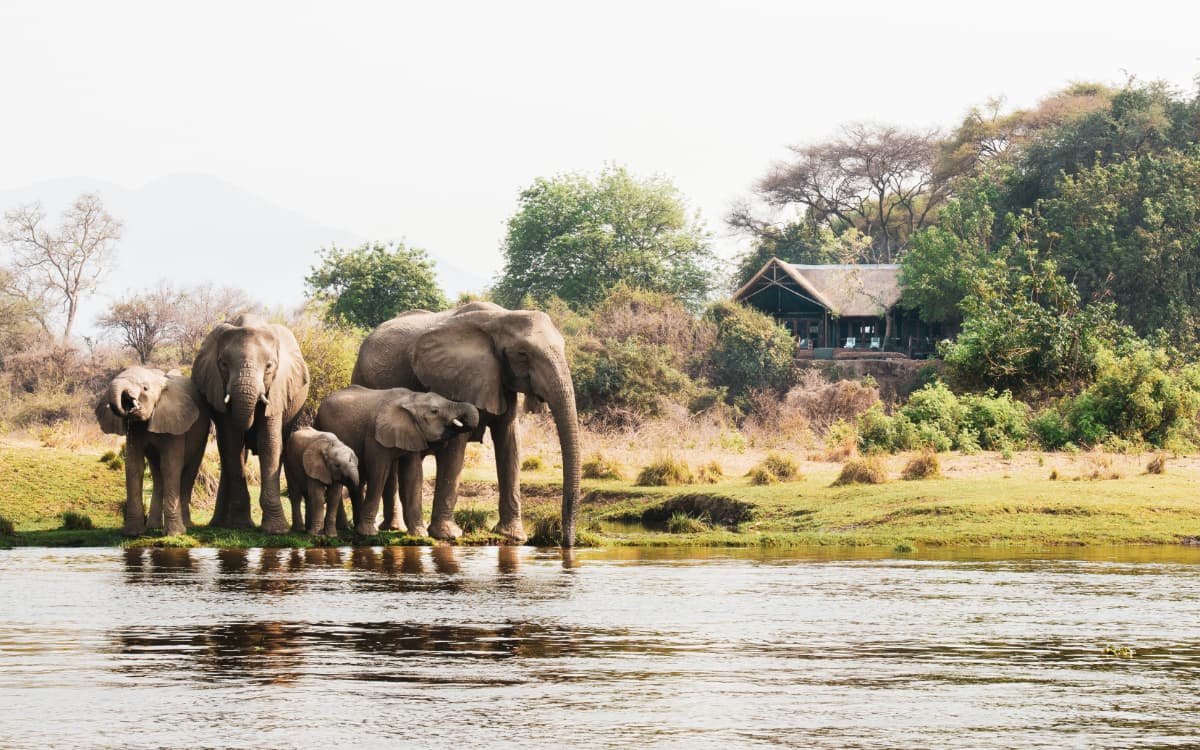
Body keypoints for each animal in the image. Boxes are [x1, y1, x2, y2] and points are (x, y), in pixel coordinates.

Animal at [95, 366, 210, 537]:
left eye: (145, 388)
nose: (131, 405)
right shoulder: (134, 430)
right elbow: (134, 467)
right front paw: (133, 533)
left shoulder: (175, 424)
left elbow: (170, 467)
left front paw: (175, 534)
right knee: (157, 473)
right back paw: (153, 527)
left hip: (202, 436)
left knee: (189, 471)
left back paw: (187, 526)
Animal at [192, 314, 309, 534]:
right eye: (223, 364)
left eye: (269, 366)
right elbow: (232, 444)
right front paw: (240, 526)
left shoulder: (277, 389)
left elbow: (269, 443)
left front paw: (276, 530)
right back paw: (219, 524)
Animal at [314, 385, 479, 536]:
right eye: (434, 411)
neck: (411, 399)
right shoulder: (375, 436)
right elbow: (379, 473)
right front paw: (368, 533)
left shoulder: (412, 433)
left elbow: (413, 475)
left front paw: (419, 534)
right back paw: (343, 529)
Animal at [351, 301, 581, 546]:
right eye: (523, 354)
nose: (565, 542)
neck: (501, 318)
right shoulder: (456, 378)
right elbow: (456, 447)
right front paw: (448, 534)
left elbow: (509, 442)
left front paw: (513, 536)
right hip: (363, 379)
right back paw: (394, 528)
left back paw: (396, 527)